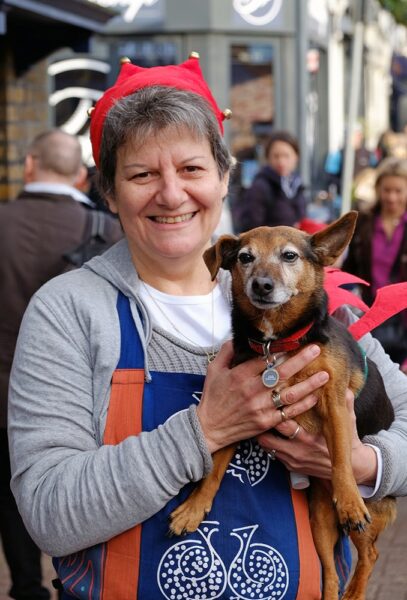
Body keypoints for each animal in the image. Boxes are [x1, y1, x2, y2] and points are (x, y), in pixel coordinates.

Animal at [169, 211, 398, 600]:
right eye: (245, 257)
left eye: (289, 256)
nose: (261, 285)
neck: (275, 344)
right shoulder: (236, 414)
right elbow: (214, 468)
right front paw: (194, 508)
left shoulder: (335, 403)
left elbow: (341, 456)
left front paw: (349, 499)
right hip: (319, 520)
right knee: (329, 570)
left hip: (367, 517)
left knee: (370, 552)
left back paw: (355, 585)